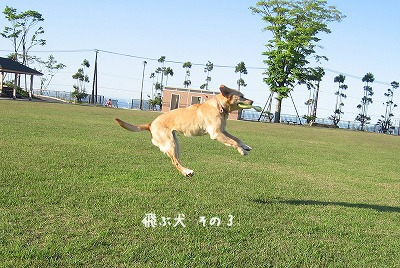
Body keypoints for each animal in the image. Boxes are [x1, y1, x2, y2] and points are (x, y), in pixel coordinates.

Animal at [115, 85, 253, 177]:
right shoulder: (216, 133)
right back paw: (187, 171)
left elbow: (237, 139)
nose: (252, 101)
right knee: (174, 161)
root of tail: (151, 124)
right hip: (170, 143)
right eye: (241, 96)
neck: (219, 106)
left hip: (175, 143)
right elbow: (233, 142)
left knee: (176, 159)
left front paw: (245, 146)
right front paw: (242, 151)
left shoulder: (223, 131)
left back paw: (186, 170)